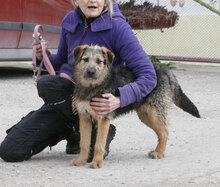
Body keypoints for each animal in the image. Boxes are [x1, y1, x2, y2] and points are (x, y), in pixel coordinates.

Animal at [70, 45, 199, 168]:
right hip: (146, 115)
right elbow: (84, 143)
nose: (91, 72)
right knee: (160, 131)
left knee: (164, 131)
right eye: (85, 59)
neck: (92, 86)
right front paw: (81, 160)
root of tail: (165, 71)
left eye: (99, 61)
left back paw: (159, 153)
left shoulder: (103, 118)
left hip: (155, 112)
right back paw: (157, 150)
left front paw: (97, 162)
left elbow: (99, 144)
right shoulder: (84, 117)